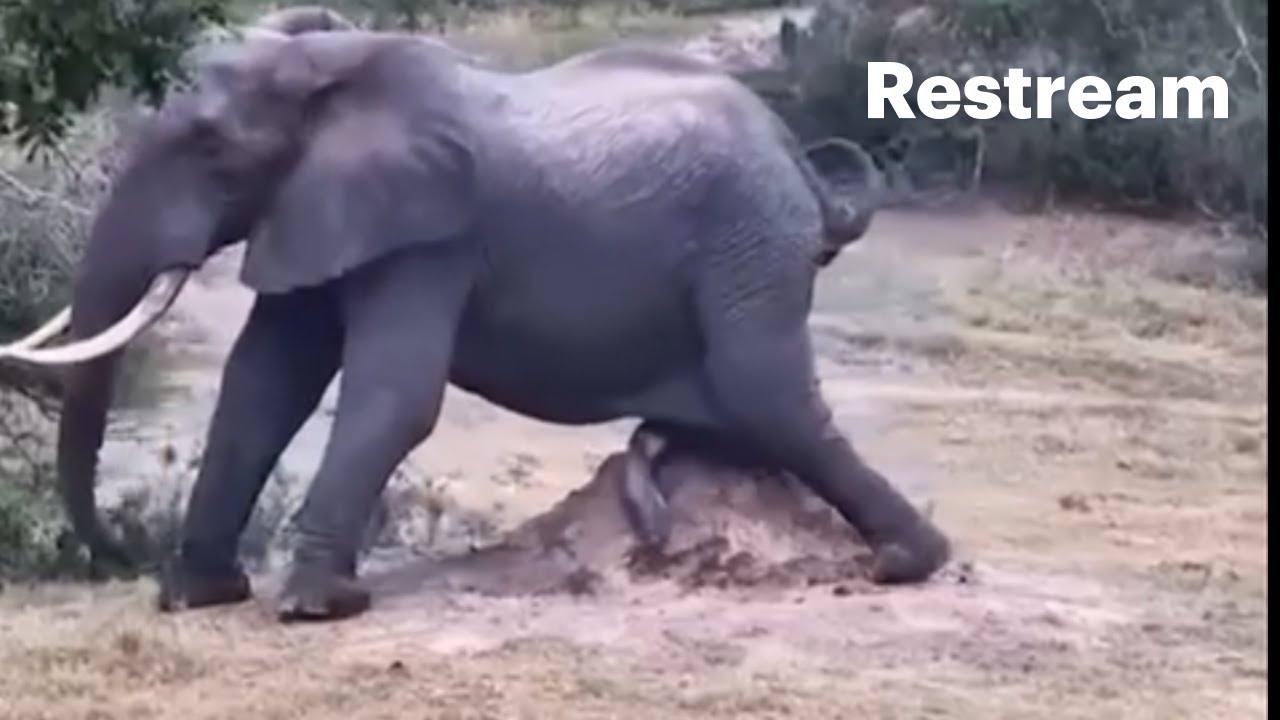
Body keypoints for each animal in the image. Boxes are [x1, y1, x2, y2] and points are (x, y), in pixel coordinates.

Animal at [0, 28, 951, 622]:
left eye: (211, 151)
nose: (118, 555)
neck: (329, 63)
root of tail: (804, 166)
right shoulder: (317, 210)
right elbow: (262, 383)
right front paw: (199, 598)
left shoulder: (430, 232)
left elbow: (395, 392)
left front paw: (318, 609)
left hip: (749, 237)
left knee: (768, 393)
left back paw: (912, 563)